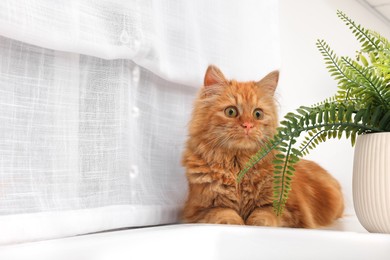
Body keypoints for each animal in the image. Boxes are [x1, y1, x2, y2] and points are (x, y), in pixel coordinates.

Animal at [181, 65, 342, 228]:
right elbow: (223, 212)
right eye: (231, 112)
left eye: (257, 114)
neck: (239, 165)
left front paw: (256, 223)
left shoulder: (287, 208)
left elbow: (264, 213)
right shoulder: (198, 210)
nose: (248, 125)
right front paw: (235, 223)